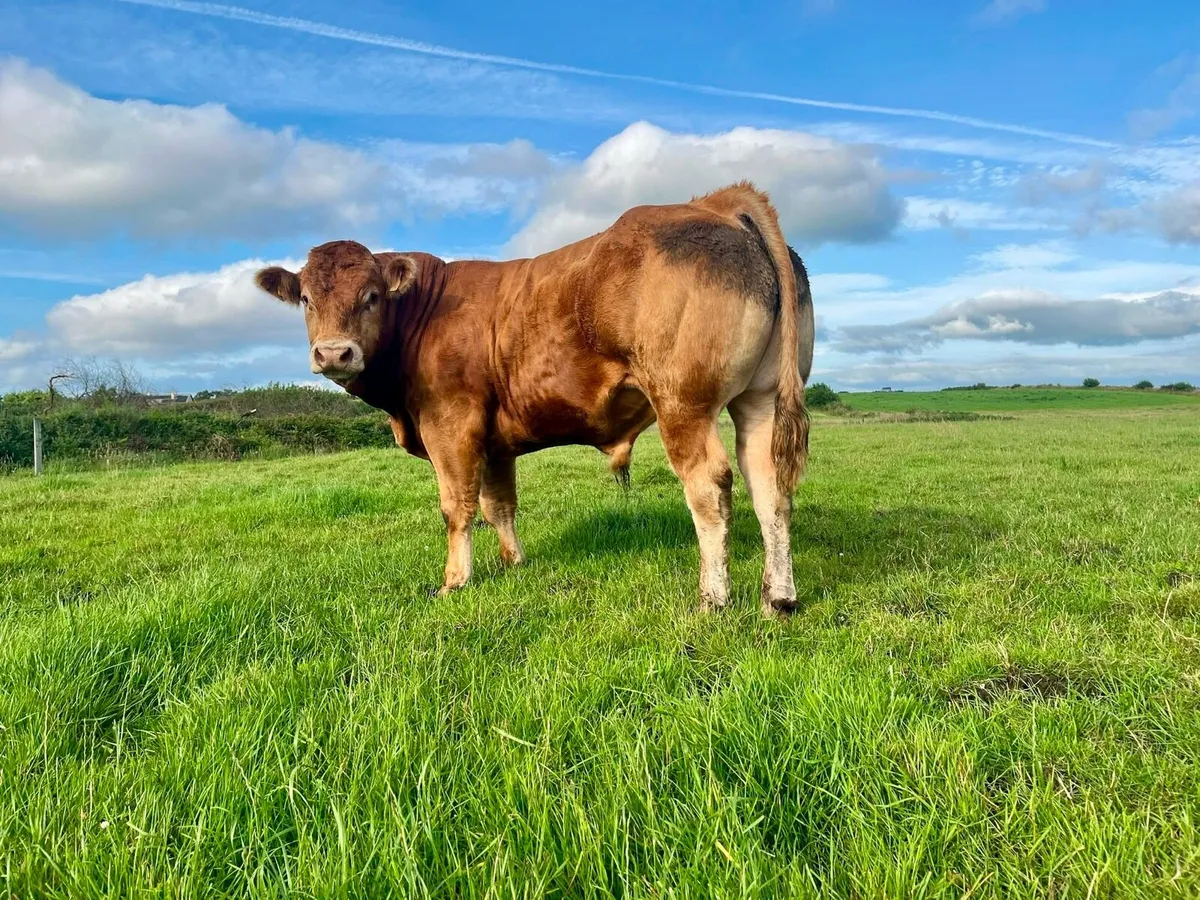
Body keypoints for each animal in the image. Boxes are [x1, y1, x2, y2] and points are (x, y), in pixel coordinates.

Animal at [255, 182, 814, 616]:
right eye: (306, 298)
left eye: (371, 296)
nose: (334, 352)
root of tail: (717, 203)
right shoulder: (495, 441)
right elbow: (499, 505)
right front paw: (512, 564)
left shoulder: (449, 424)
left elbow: (457, 507)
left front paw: (455, 582)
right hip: (760, 399)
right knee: (770, 488)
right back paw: (778, 598)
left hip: (684, 404)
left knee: (709, 488)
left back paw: (711, 600)